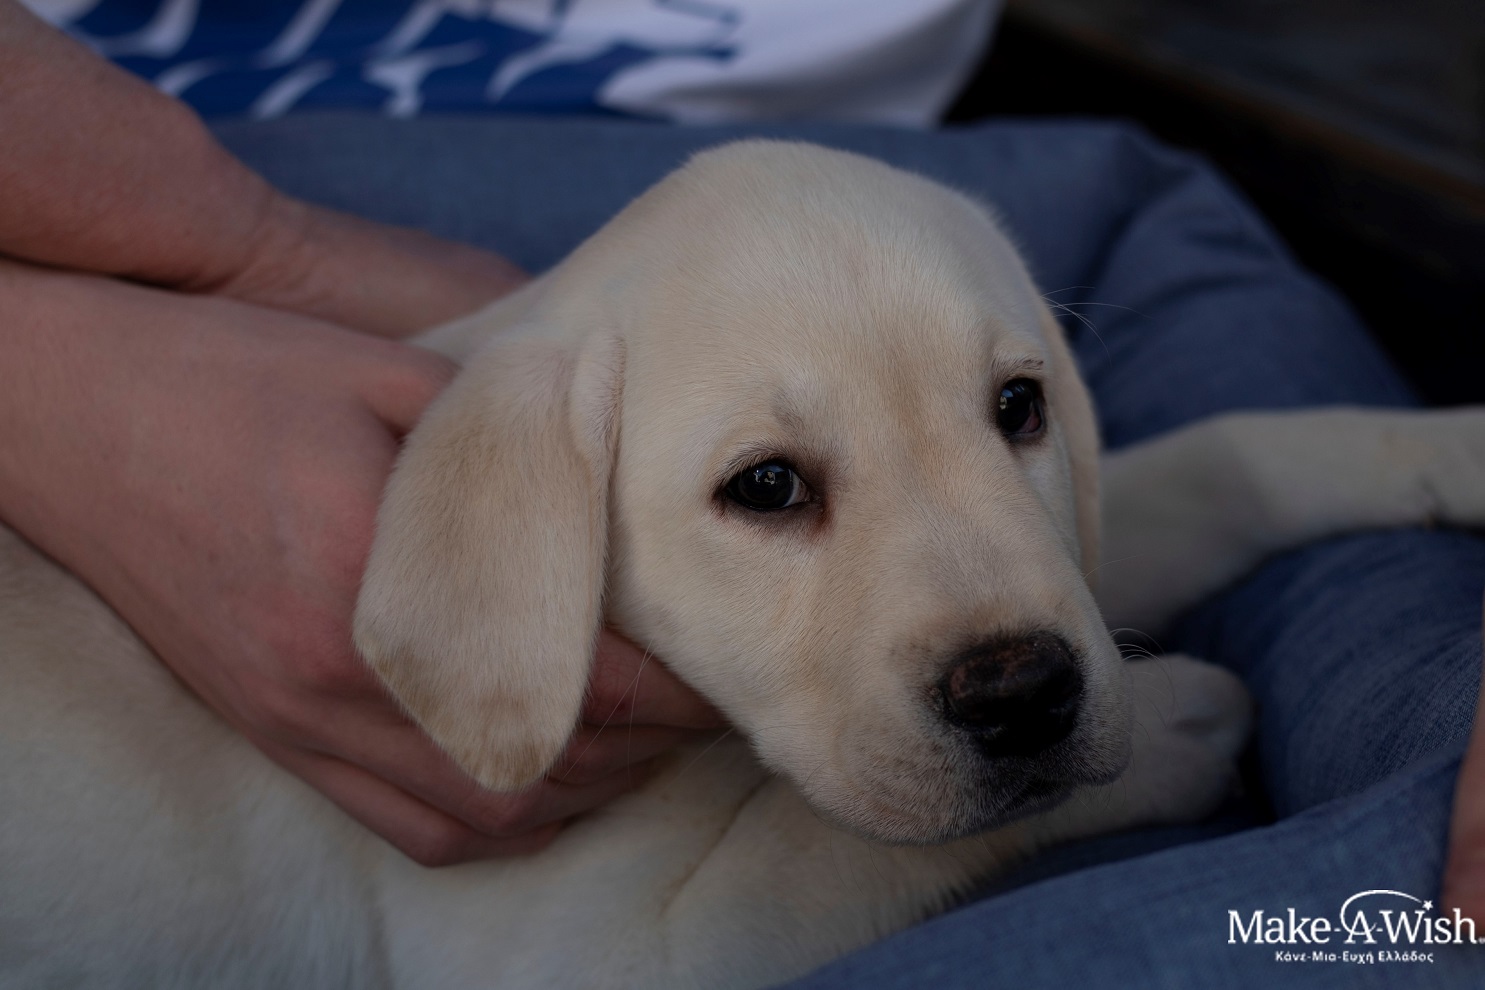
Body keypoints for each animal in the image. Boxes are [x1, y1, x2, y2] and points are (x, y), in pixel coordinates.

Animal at [4, 141, 1483, 989]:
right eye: (765, 488)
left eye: (1020, 407)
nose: (1025, 695)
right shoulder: (582, 957)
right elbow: (821, 842)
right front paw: (1181, 720)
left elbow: (1222, 458)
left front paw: (1446, 444)